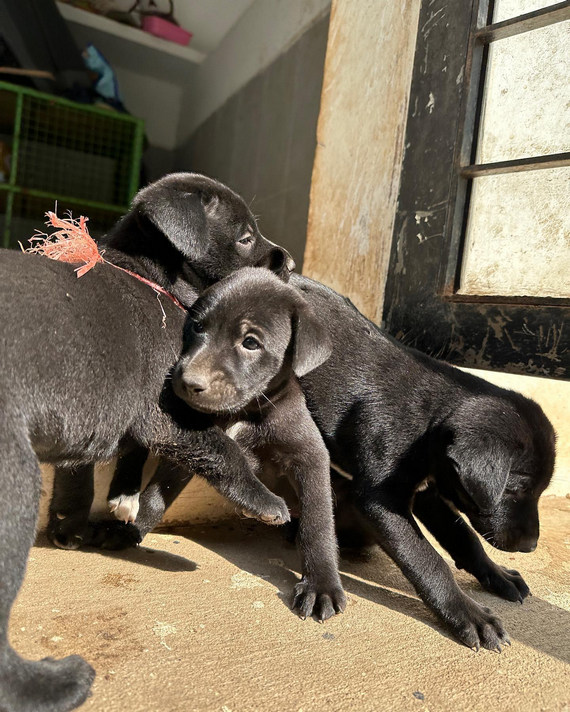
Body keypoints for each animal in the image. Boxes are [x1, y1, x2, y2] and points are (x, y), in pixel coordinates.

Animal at [0, 174, 292, 712]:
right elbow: (223, 450)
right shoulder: (167, 410)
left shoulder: (92, 411)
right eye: (245, 237)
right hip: (14, 488)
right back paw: (54, 686)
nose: (292, 264)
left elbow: (86, 468)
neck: (151, 277)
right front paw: (264, 501)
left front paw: (76, 521)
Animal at [92, 272, 552, 652]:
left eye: (529, 490)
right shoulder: (381, 499)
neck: (429, 418)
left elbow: (461, 536)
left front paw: (495, 574)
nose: (530, 546)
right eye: (515, 488)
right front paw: (468, 613)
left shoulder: (427, 491)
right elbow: (428, 561)